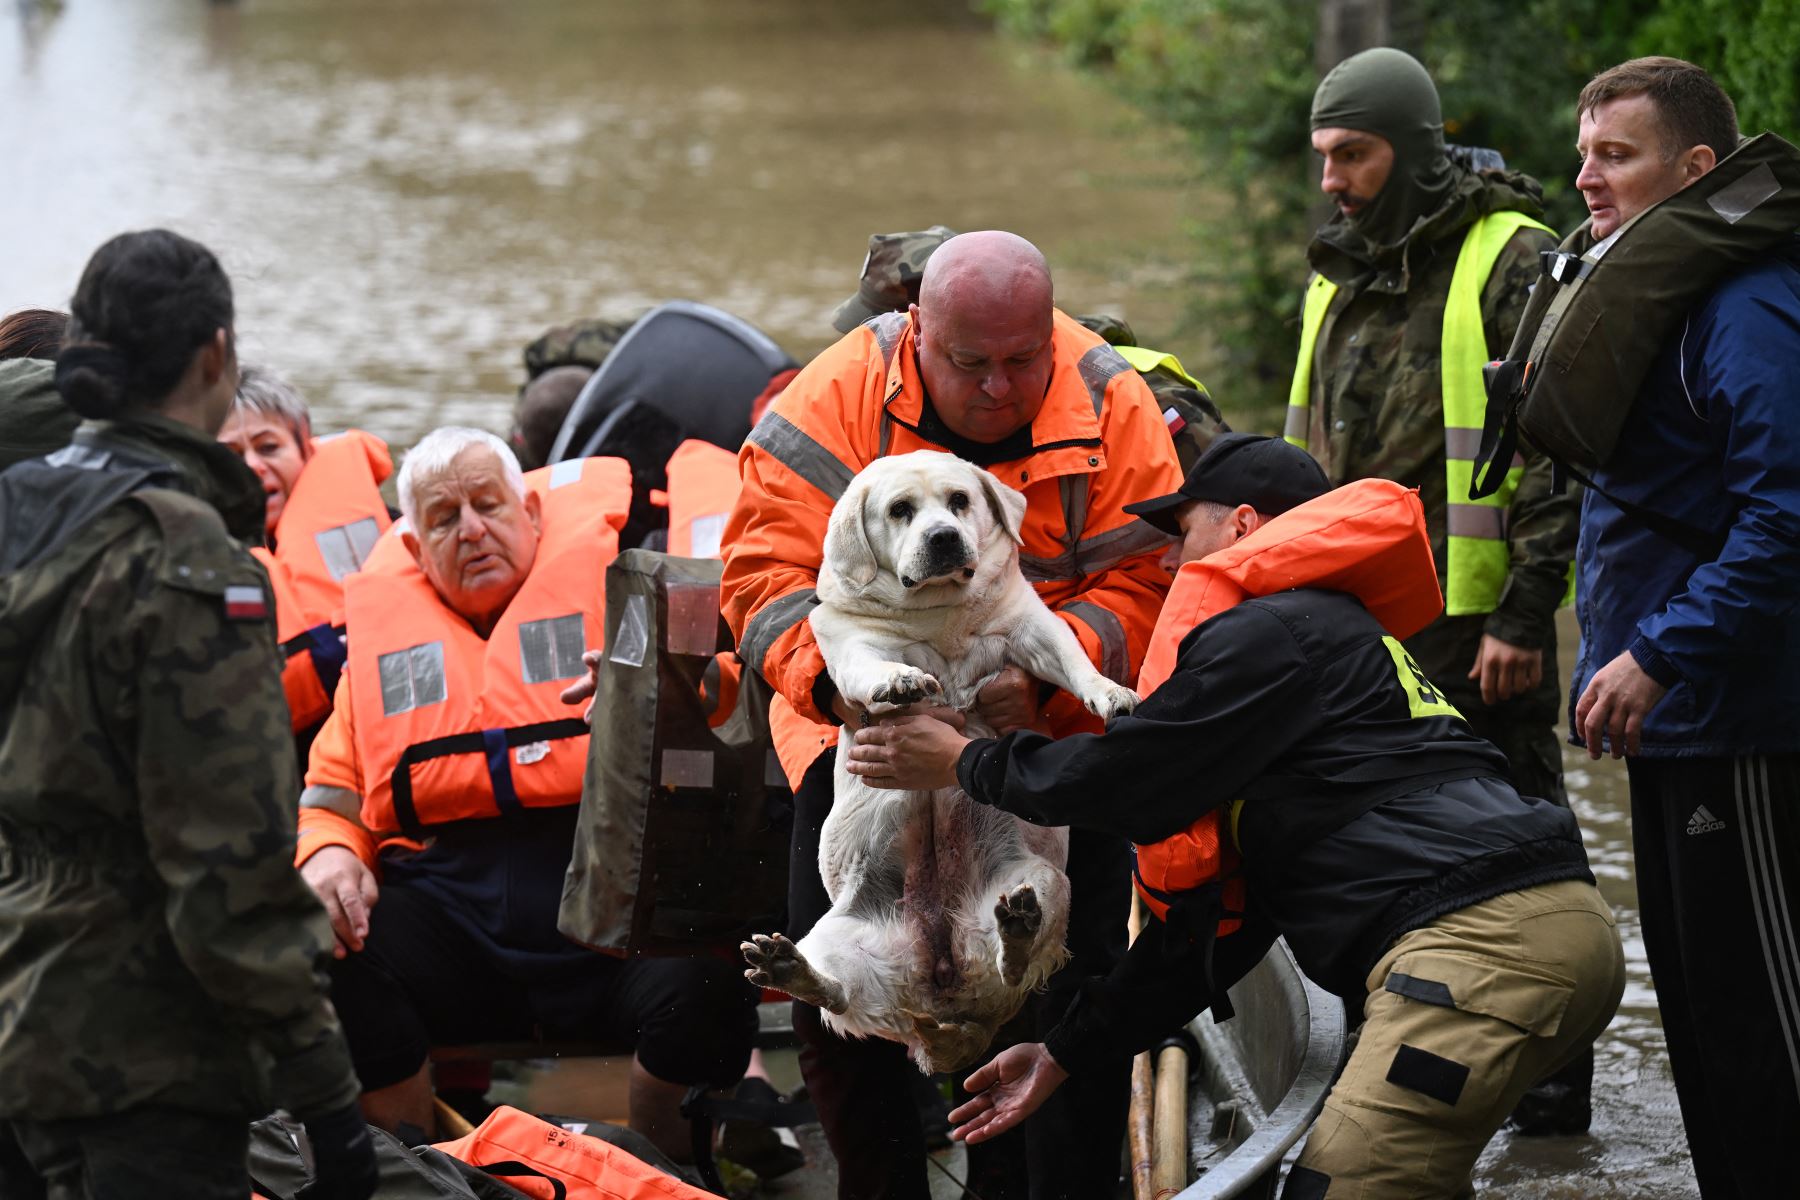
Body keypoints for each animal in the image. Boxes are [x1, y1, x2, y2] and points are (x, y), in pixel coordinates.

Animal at [745, 455, 1137, 1072]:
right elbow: (871, 667)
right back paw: (788, 968)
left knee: (1018, 963)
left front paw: (1108, 692)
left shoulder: (1032, 627)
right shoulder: (850, 646)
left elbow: (1074, 660)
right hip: (837, 938)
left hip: (1044, 882)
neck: (937, 613)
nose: (945, 538)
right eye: (900, 510)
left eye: (959, 501)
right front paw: (900, 679)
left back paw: (1017, 931)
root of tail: (944, 996)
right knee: (837, 994)